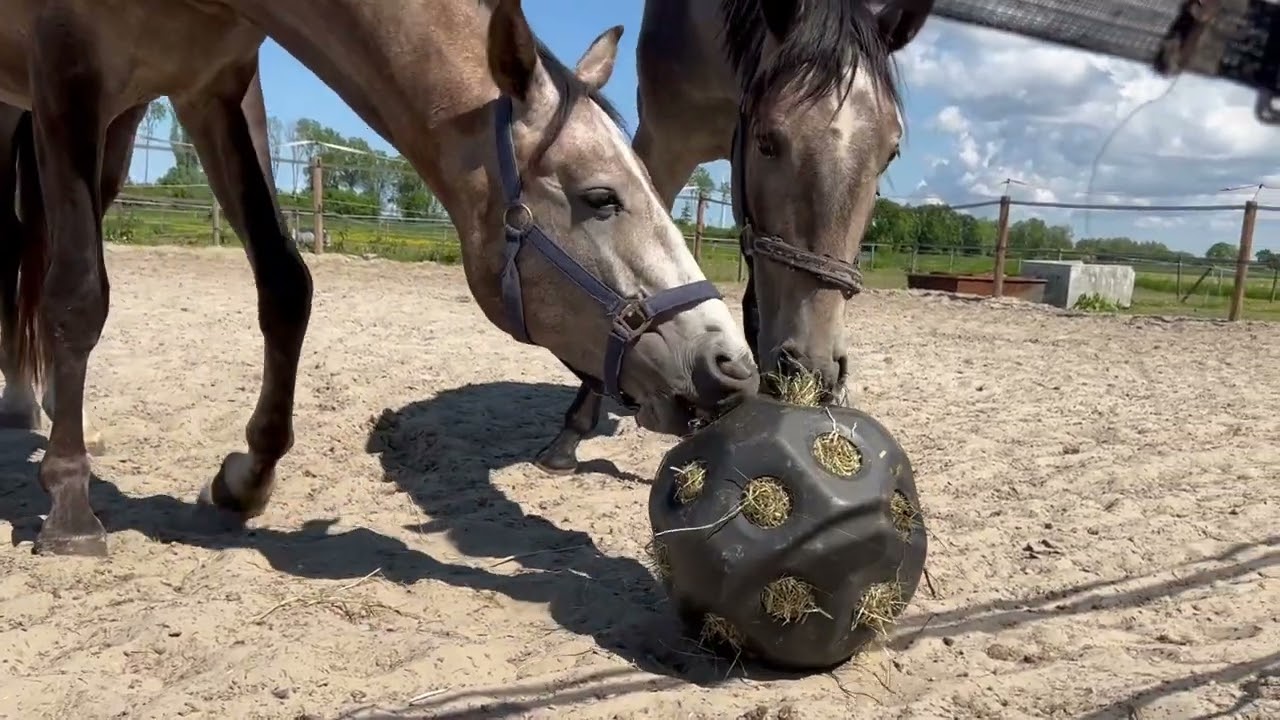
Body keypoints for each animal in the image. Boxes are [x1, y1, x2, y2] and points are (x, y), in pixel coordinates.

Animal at [1, 0, 759, 557]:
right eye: (601, 198)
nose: (732, 366)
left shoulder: (215, 84)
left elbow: (285, 283)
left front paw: (246, 478)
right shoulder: (67, 67)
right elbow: (78, 293)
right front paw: (69, 507)